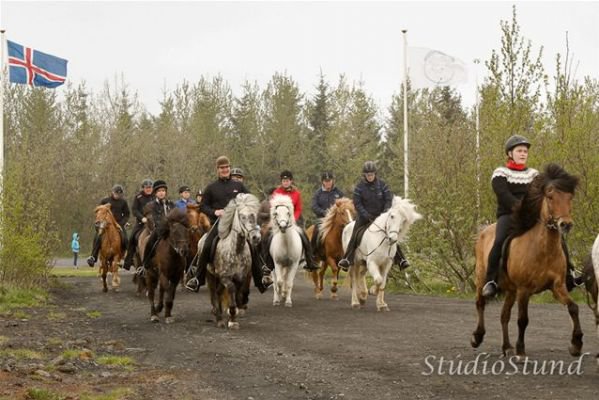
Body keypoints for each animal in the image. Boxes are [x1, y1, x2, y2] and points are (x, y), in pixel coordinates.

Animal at [207, 193, 262, 328]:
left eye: (254, 215)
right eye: (242, 217)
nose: (256, 237)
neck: (236, 251)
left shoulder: (240, 278)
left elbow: (236, 295)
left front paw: (233, 319)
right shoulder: (226, 277)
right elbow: (231, 290)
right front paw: (231, 318)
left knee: (218, 292)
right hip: (211, 275)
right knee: (214, 294)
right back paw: (218, 318)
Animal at [472, 164, 584, 358]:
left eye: (570, 197)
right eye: (550, 196)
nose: (566, 225)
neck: (544, 250)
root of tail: (484, 230)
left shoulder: (557, 286)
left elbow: (573, 307)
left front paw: (576, 345)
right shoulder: (524, 290)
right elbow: (523, 320)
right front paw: (521, 351)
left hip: (510, 290)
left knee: (504, 315)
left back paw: (507, 347)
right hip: (481, 278)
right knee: (481, 304)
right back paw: (477, 337)